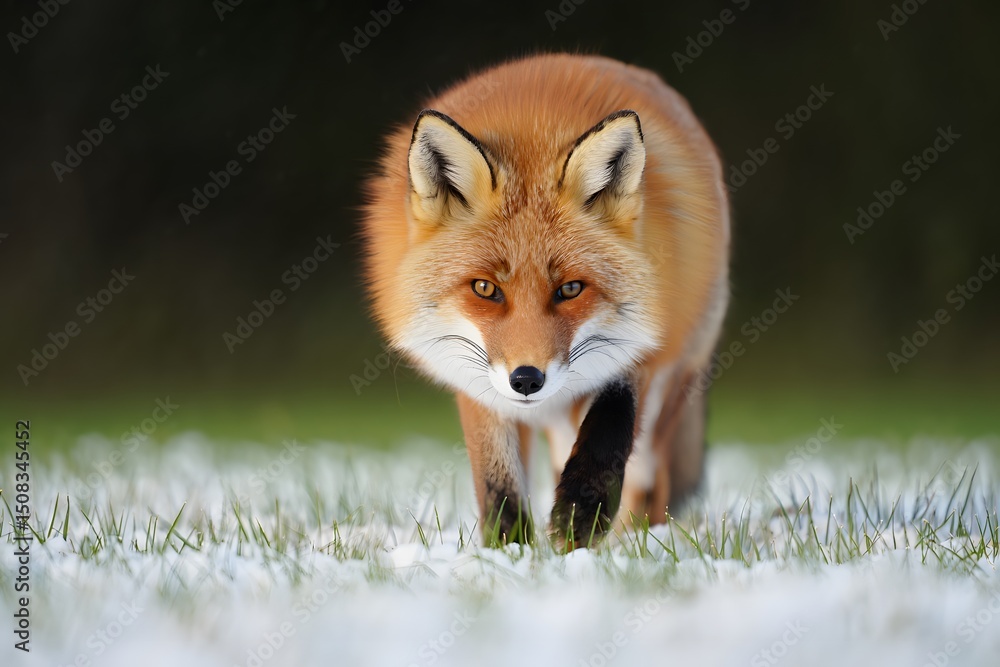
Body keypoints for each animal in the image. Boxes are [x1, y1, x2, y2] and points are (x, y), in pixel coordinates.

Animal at [362, 53, 730, 548]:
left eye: (570, 289)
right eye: (485, 289)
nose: (526, 380)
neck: (535, 125)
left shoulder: (642, 344)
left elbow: (610, 423)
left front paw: (580, 515)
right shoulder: (477, 381)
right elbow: (497, 482)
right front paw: (508, 550)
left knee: (649, 481)